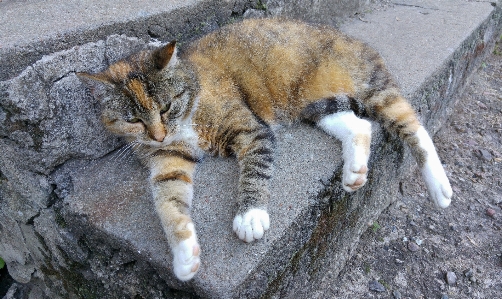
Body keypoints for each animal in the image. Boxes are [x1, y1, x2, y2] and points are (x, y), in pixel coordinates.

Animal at [76, 18, 452, 282]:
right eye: (133, 120)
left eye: (166, 106)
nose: (157, 135)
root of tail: (353, 40)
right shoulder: (167, 162)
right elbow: (168, 203)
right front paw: (184, 257)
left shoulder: (251, 129)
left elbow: (255, 169)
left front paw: (250, 215)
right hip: (314, 106)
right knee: (359, 126)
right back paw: (355, 173)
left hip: (373, 89)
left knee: (414, 126)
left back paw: (440, 187)